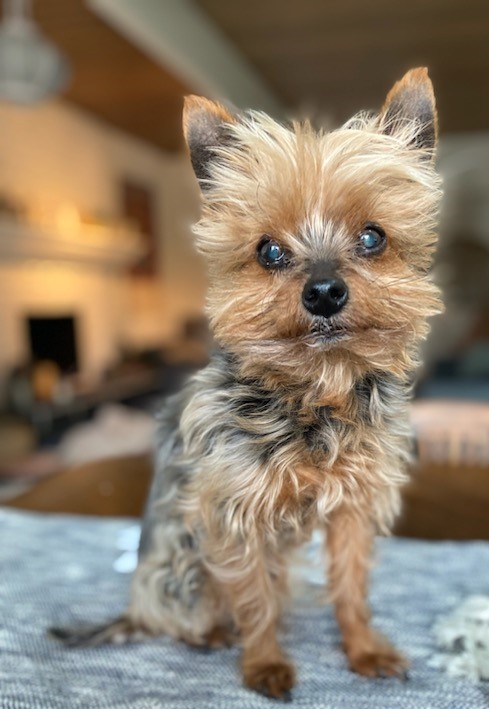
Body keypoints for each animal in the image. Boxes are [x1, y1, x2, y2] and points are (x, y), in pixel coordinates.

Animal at [52, 69, 442, 700]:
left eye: (373, 238)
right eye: (270, 251)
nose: (324, 291)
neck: (315, 392)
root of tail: (135, 608)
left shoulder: (354, 507)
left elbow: (351, 586)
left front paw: (363, 650)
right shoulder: (234, 514)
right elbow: (254, 597)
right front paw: (264, 665)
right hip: (182, 570)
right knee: (198, 610)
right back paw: (211, 633)